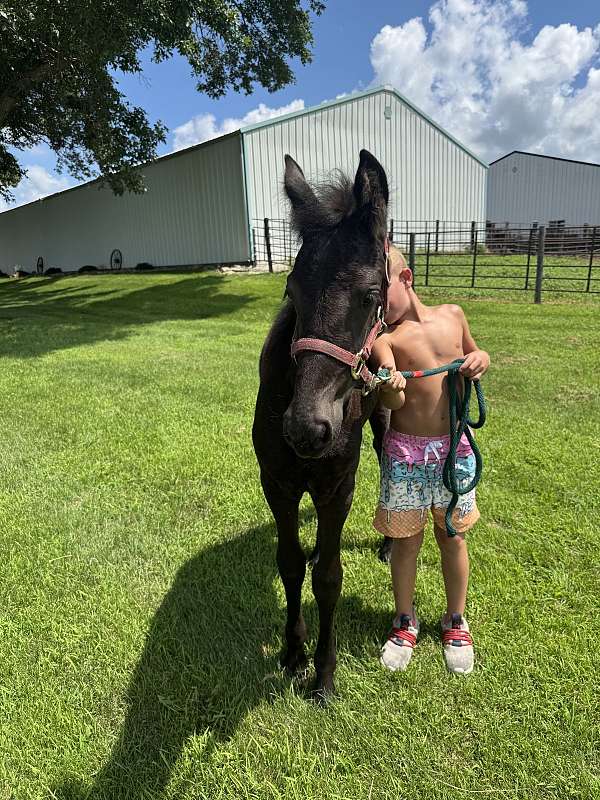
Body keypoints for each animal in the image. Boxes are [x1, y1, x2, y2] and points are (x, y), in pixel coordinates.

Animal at [252, 150, 392, 700]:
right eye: (291, 289)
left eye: (370, 293)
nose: (307, 430)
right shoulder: (279, 483)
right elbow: (289, 564)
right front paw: (293, 654)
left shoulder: (338, 488)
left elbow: (331, 579)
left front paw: (324, 674)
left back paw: (388, 544)